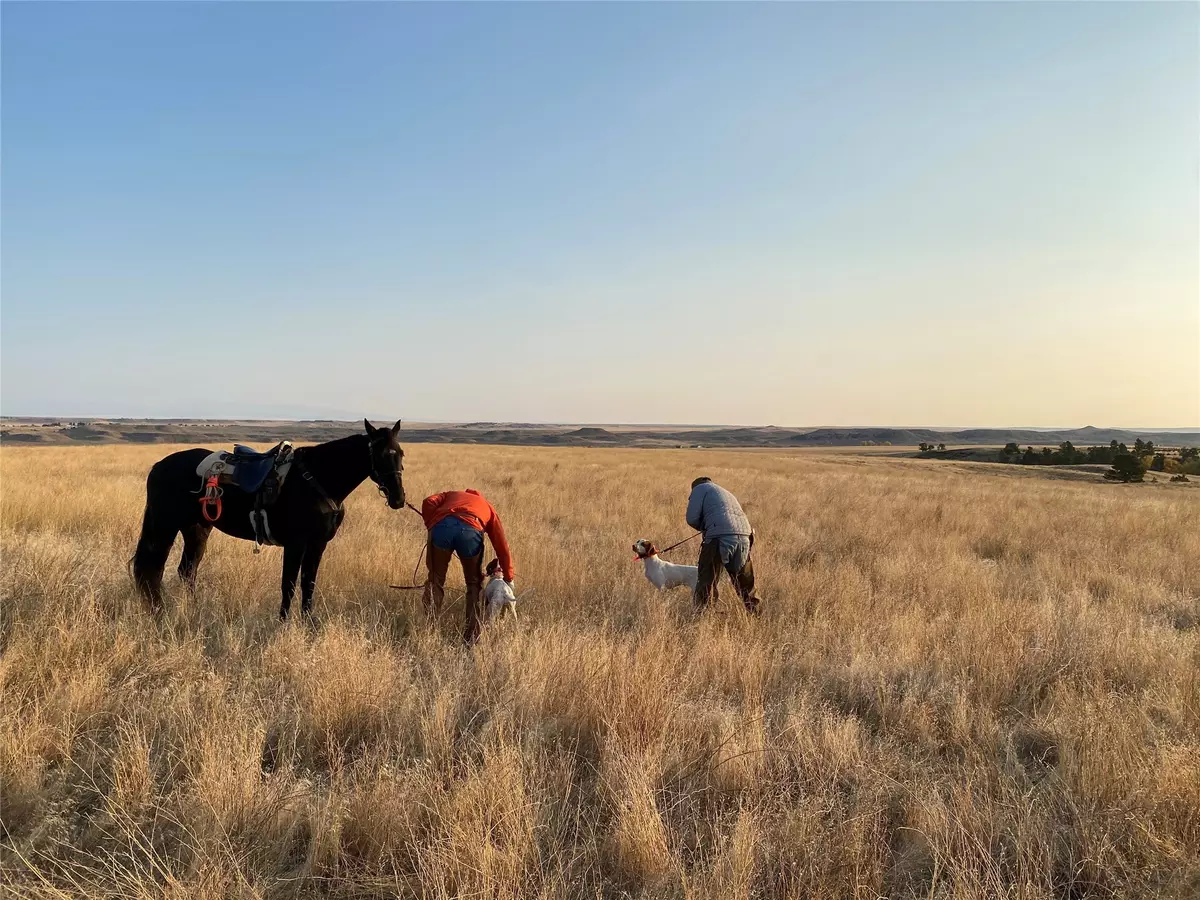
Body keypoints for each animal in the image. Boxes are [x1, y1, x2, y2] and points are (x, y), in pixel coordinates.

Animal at [130, 422, 403, 619]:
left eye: (400, 453)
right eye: (379, 455)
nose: (399, 498)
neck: (317, 480)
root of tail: (159, 465)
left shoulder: (317, 544)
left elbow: (309, 584)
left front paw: (308, 624)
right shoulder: (295, 544)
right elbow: (289, 584)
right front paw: (283, 623)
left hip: (196, 528)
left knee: (187, 570)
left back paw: (193, 609)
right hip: (165, 526)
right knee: (153, 570)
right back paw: (158, 611)